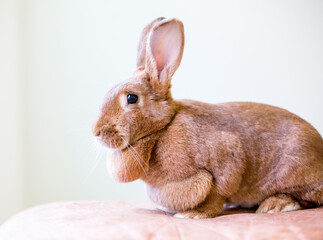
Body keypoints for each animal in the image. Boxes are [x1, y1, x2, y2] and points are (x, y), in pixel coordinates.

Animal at [93, 17, 323, 219]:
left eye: (131, 98)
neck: (162, 129)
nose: (96, 132)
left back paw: (275, 205)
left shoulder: (222, 167)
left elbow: (215, 196)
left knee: (308, 198)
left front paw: (192, 214)